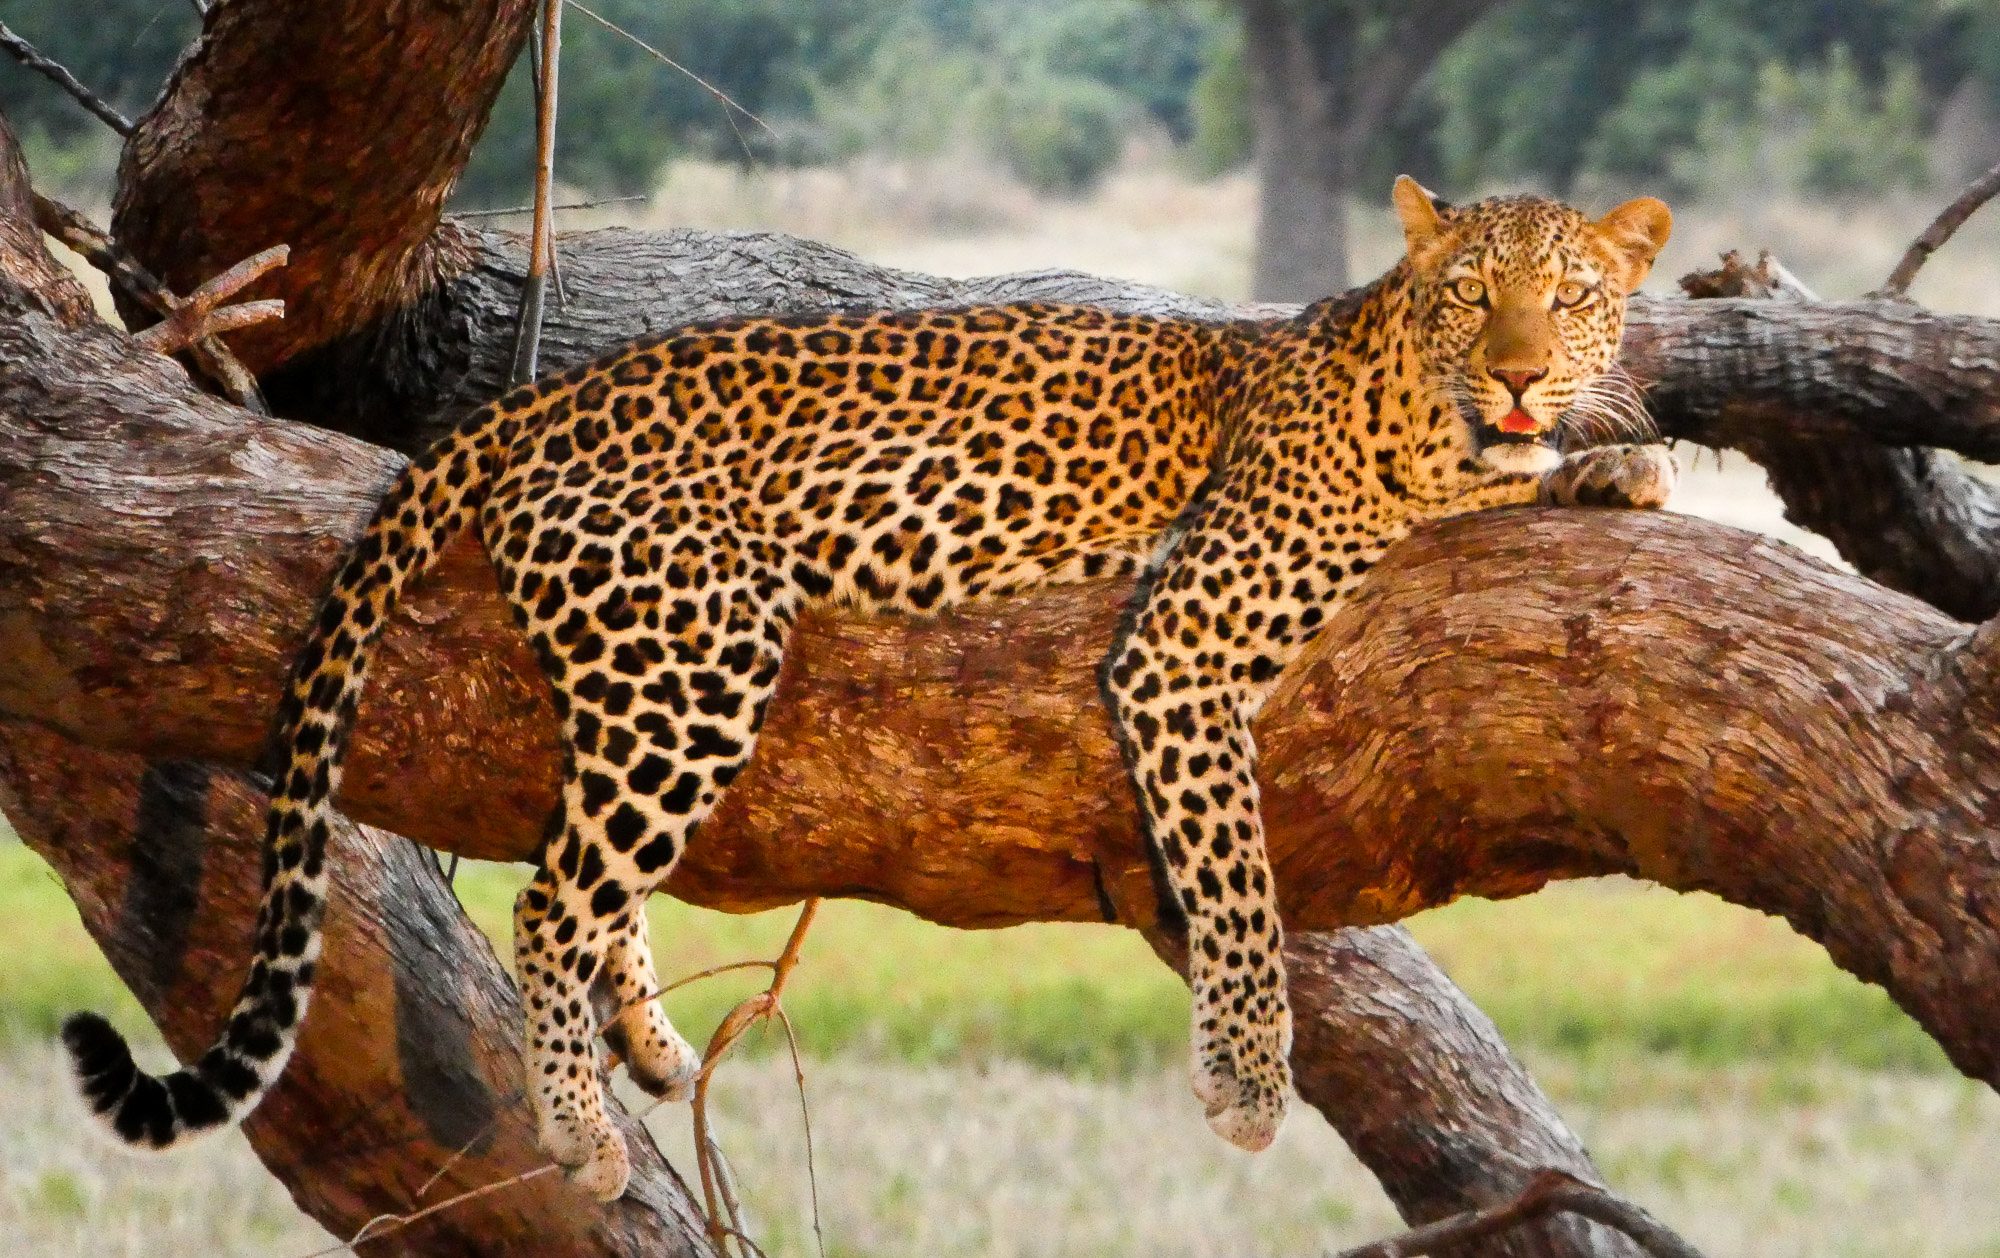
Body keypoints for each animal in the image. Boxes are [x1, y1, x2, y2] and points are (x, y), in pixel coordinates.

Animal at [62, 177, 1676, 1201]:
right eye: (1472, 295)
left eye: (1571, 297)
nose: (1518, 374)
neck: (1424, 418)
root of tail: (542, 398)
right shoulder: (1185, 640)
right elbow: (1239, 875)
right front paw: (1246, 1078)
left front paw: (1611, 464)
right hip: (698, 651)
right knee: (551, 898)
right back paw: (579, 1125)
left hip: (643, 675)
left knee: (577, 858)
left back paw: (644, 1041)